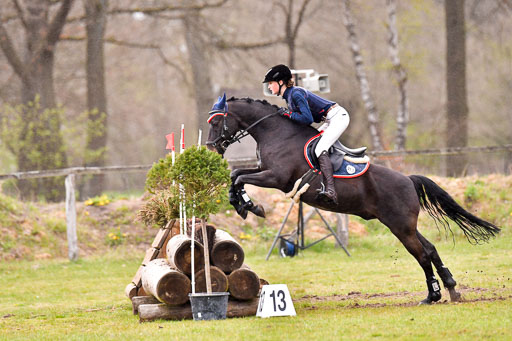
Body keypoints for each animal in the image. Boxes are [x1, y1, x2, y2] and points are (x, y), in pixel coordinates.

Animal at [204, 94, 500, 304]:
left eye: (216, 122)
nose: (211, 148)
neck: (275, 132)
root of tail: (408, 180)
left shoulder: (276, 177)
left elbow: (239, 177)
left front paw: (249, 206)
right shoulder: (266, 173)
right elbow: (236, 174)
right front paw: (242, 204)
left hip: (401, 227)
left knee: (422, 254)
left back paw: (433, 296)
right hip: (405, 225)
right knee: (430, 249)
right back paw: (450, 289)